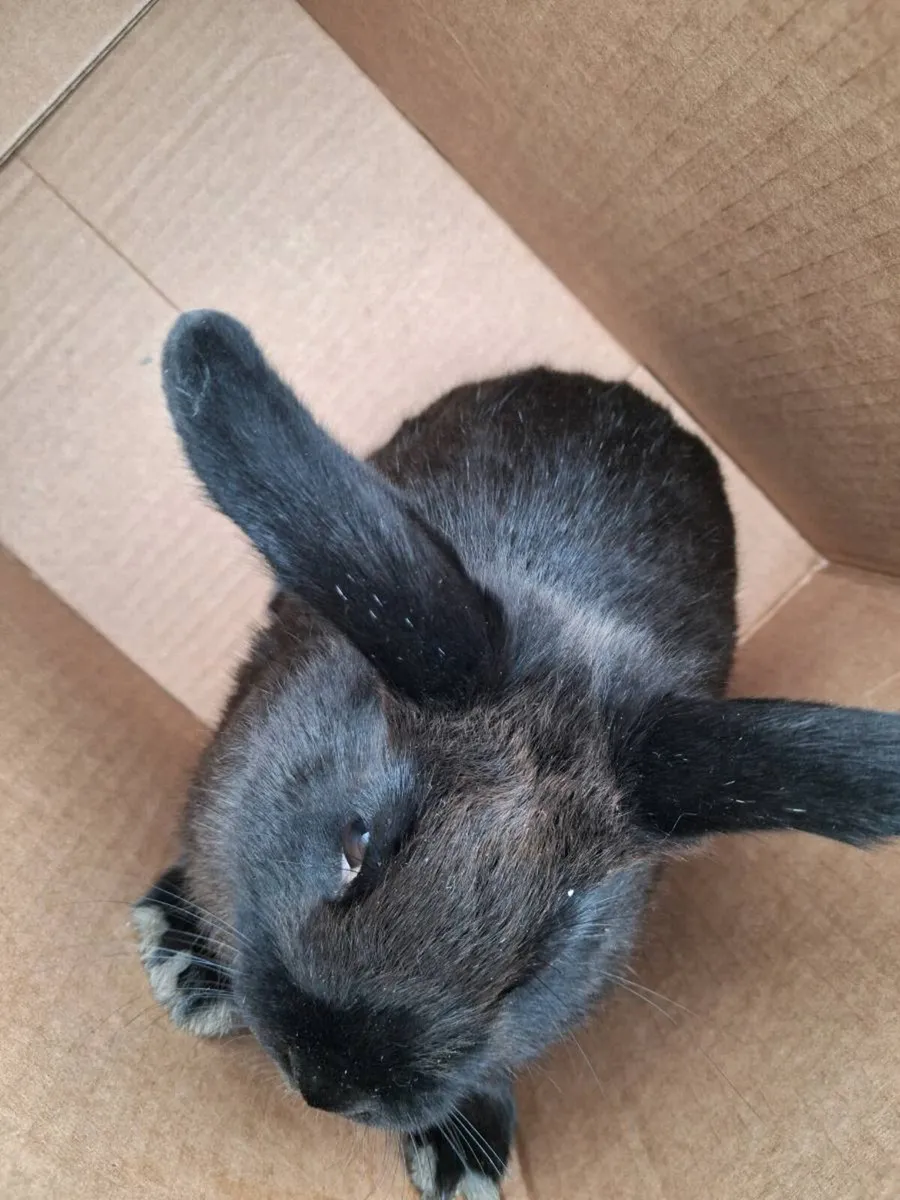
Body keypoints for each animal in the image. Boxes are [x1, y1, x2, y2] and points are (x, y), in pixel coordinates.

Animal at [133, 310, 900, 1200]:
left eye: (542, 958)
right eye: (356, 843)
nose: (328, 1082)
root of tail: (621, 392)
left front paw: (463, 1158)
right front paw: (184, 951)